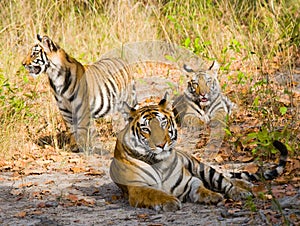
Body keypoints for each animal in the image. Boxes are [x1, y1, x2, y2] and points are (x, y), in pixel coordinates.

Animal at [109, 93, 288, 212]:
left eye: (163, 124)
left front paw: (213, 196)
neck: (159, 163)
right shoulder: (137, 188)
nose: (161, 145)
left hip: (201, 166)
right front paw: (170, 201)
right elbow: (154, 193)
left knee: (223, 179)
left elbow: (202, 186)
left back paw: (242, 189)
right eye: (146, 129)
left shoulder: (189, 180)